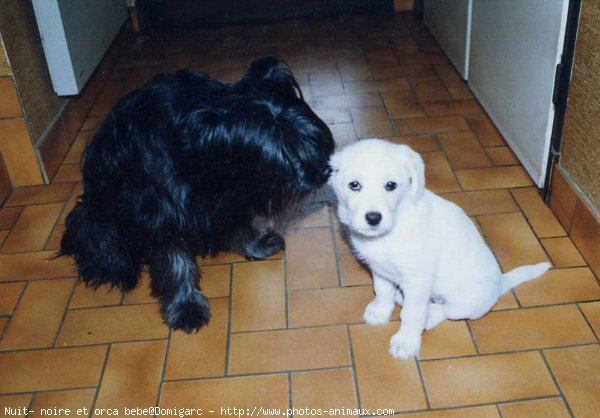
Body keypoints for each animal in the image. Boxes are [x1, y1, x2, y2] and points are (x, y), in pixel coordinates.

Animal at [62, 57, 336, 332]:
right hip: (97, 219)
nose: (322, 172)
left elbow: (239, 222)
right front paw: (185, 306)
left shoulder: (232, 193)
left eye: (310, 138)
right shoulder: (161, 212)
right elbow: (175, 262)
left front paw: (256, 246)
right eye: (282, 154)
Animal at [330, 140, 552, 360]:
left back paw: (428, 316)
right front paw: (380, 311)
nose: (373, 218)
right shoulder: (379, 269)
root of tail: (499, 284)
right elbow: (382, 291)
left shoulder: (418, 280)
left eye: (391, 185)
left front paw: (406, 341)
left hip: (466, 301)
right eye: (354, 185)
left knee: (447, 310)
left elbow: (411, 314)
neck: (393, 229)